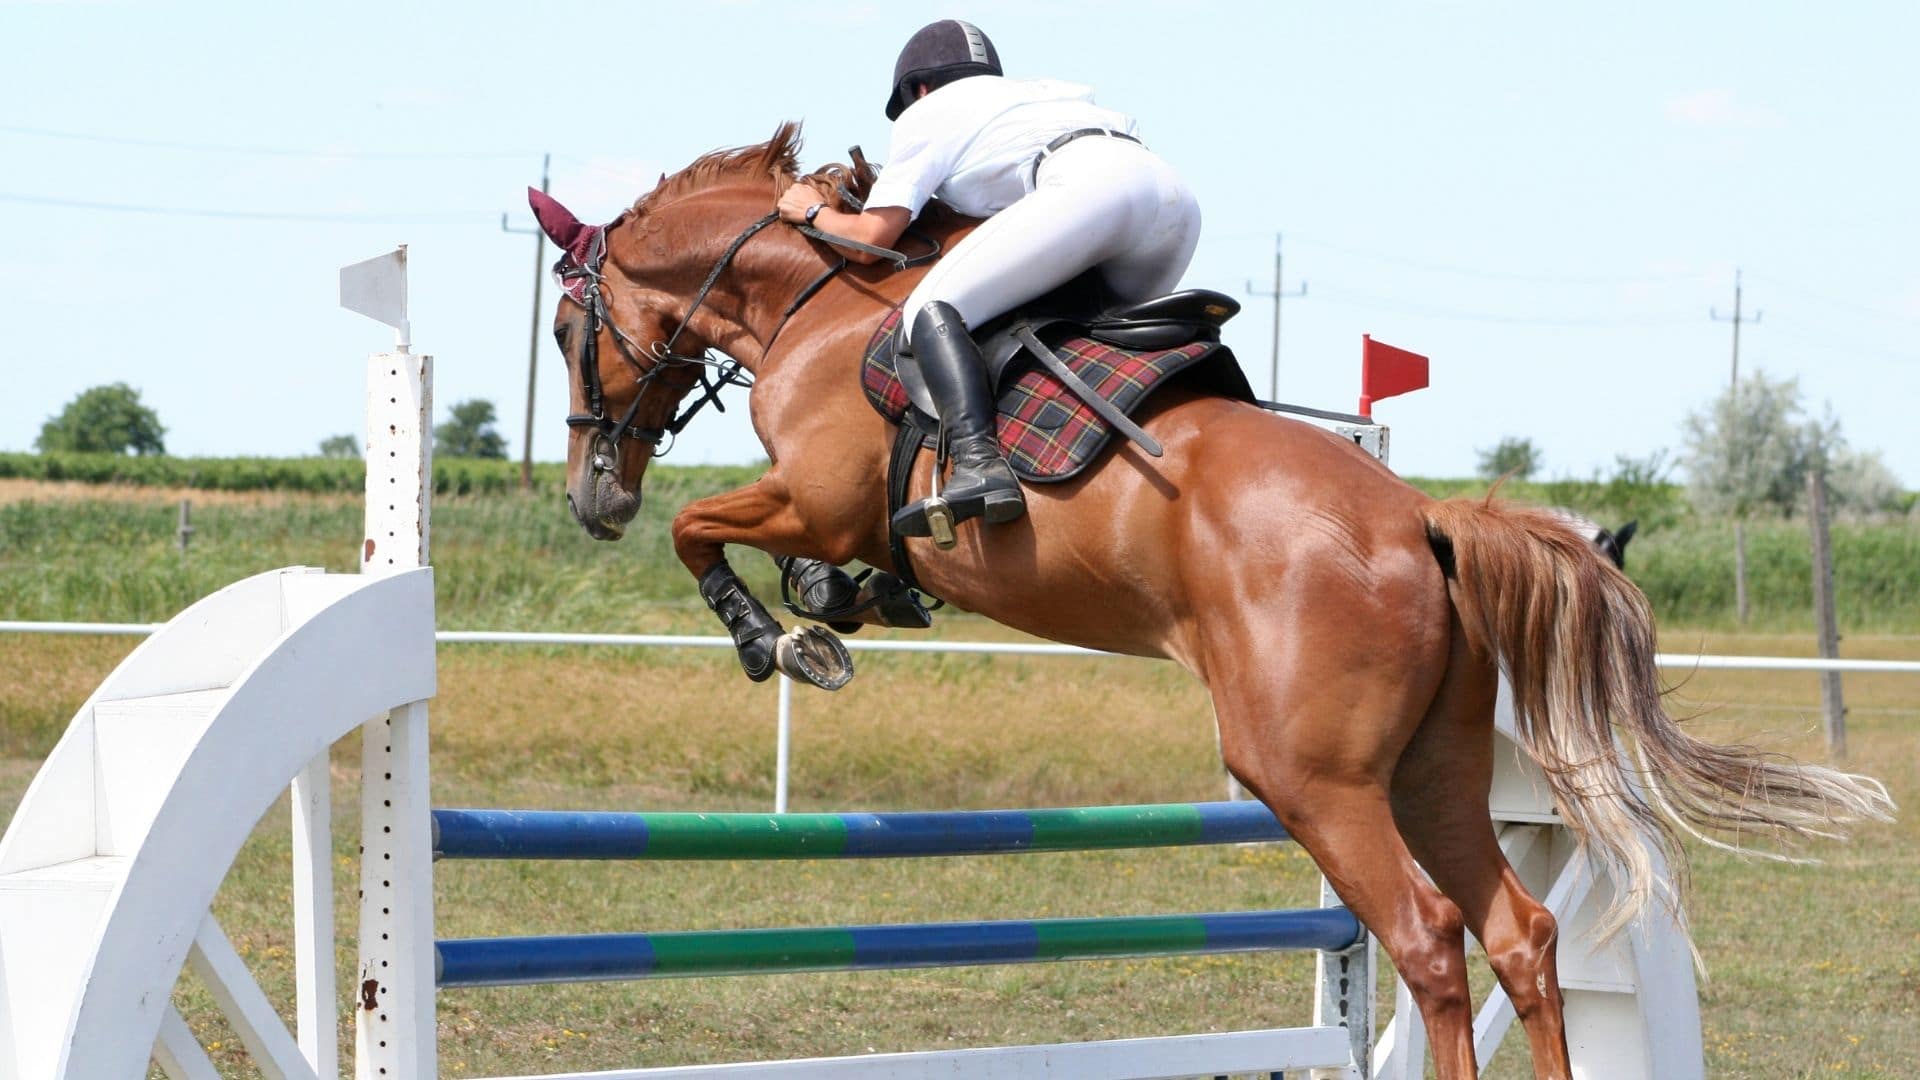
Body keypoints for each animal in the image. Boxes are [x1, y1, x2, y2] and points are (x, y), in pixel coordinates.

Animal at [530, 124, 1891, 1079]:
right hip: (1434, 768)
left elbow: (703, 531)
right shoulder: (827, 516)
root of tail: (1421, 523)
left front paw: (783, 638)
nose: (593, 492)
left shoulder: (812, 496)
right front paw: (833, 608)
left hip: (1311, 776)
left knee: (1427, 937)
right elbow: (800, 561)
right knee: (1517, 936)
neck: (821, 309)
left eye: (558, 328)